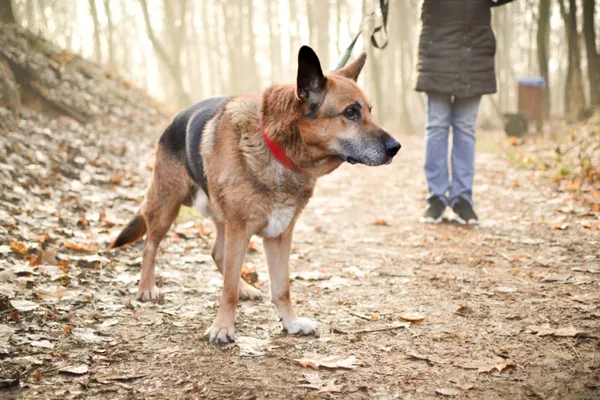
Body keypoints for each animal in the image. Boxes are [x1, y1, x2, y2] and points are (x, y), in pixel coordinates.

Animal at [110, 45, 400, 342]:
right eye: (351, 112)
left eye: (369, 111)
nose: (395, 147)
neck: (276, 147)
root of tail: (174, 121)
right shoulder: (241, 228)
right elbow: (227, 289)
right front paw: (223, 326)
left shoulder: (279, 233)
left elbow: (281, 286)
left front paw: (290, 322)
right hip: (167, 206)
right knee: (151, 244)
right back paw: (146, 287)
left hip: (221, 219)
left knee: (218, 254)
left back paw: (245, 288)